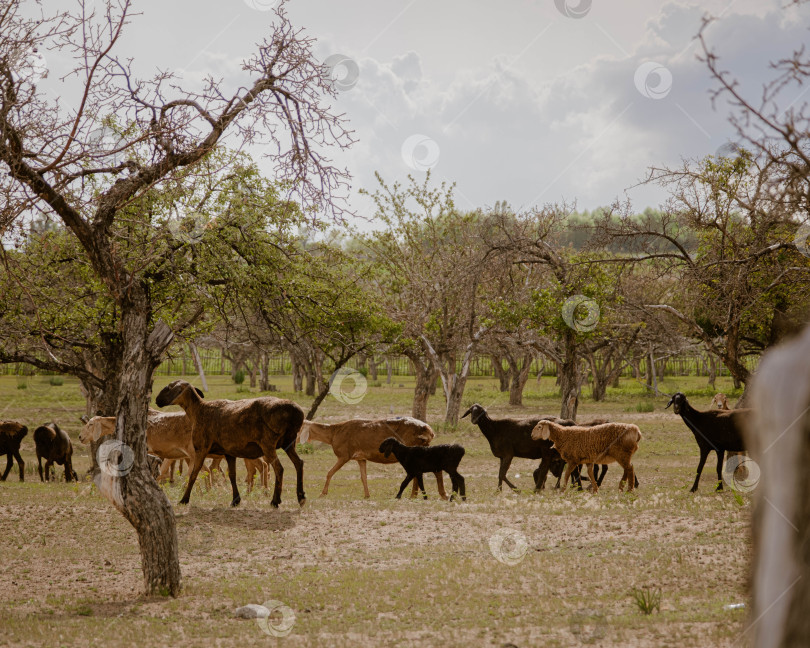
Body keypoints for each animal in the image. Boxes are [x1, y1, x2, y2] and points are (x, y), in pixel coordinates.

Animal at [154, 378, 304, 508]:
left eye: (169, 387)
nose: (156, 400)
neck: (198, 410)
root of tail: (295, 411)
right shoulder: (228, 452)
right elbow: (232, 475)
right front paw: (235, 500)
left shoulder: (201, 448)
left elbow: (194, 474)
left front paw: (184, 500)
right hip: (289, 442)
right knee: (299, 463)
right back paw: (301, 497)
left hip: (268, 444)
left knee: (279, 468)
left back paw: (275, 501)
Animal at [298, 416, 448, 502]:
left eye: (299, 426)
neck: (333, 435)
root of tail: (430, 432)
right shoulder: (360, 457)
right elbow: (363, 477)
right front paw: (367, 495)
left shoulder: (344, 454)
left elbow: (329, 473)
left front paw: (322, 494)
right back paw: (418, 495)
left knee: (433, 470)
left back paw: (439, 495)